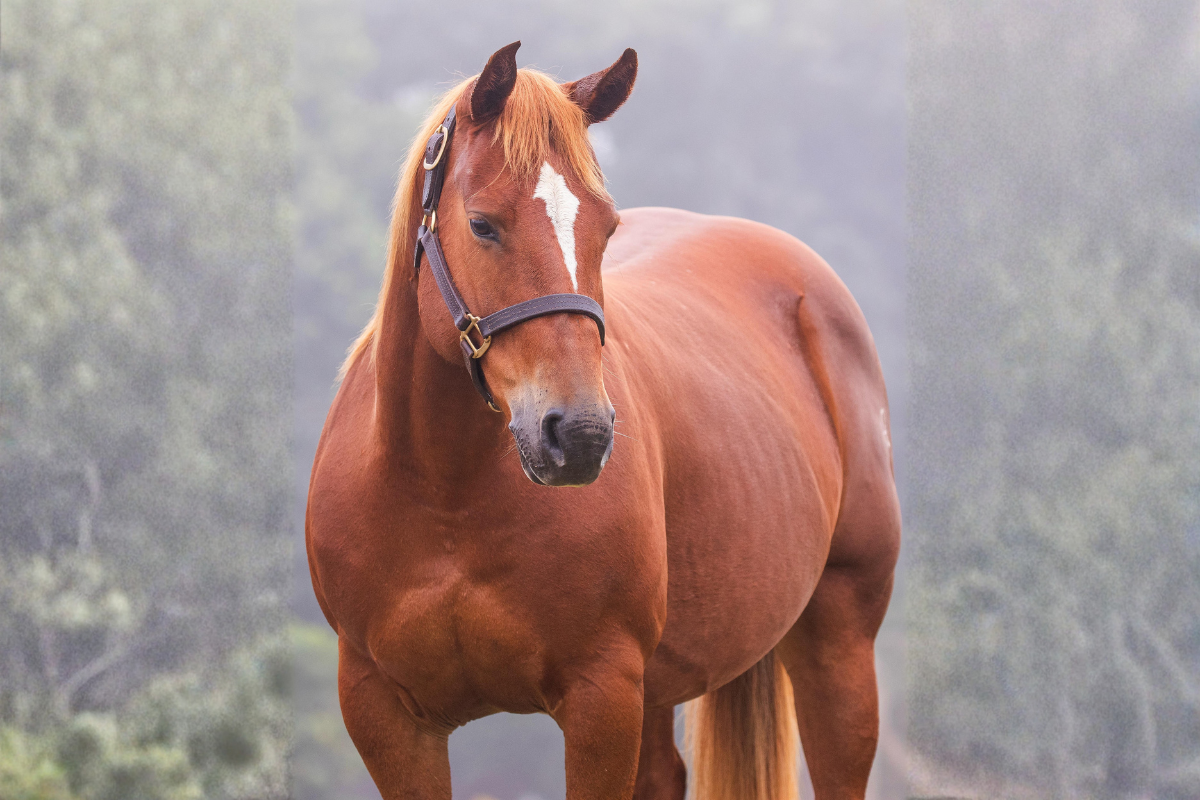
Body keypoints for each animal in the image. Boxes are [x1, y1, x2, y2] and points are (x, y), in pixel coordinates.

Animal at [305, 41, 900, 800]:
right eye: (482, 224)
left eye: (606, 228)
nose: (580, 436)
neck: (444, 497)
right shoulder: (387, 716)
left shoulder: (601, 697)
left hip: (839, 644)